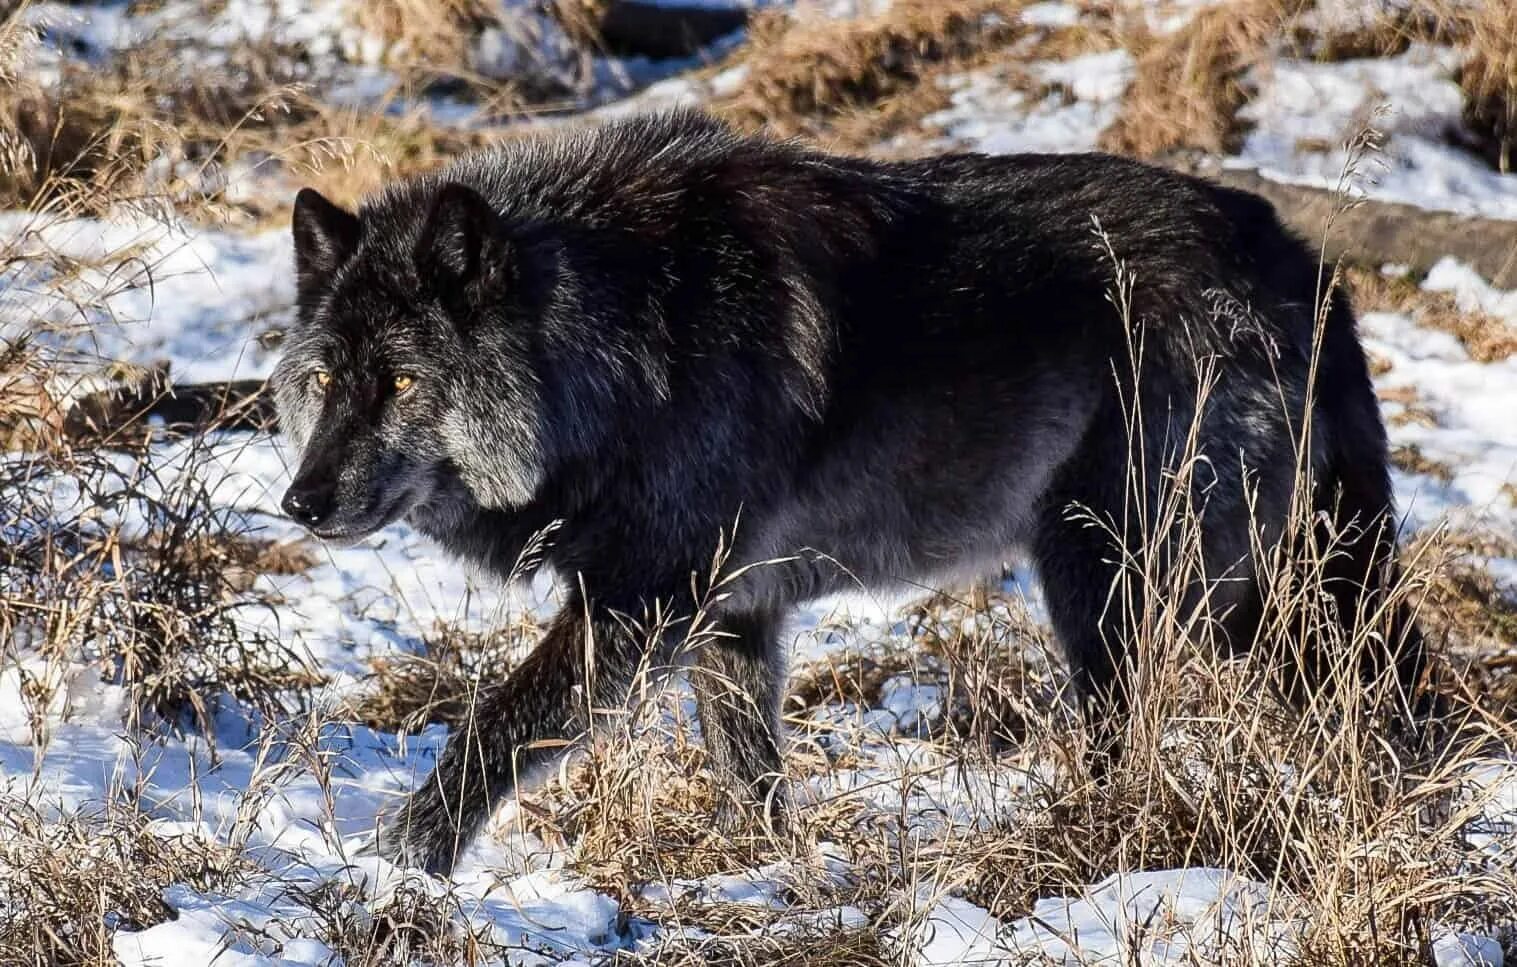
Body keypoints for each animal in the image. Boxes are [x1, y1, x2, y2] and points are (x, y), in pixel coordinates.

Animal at [270, 109, 1419, 868]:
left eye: (402, 382)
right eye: (324, 381)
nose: (300, 504)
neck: (630, 343)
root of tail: (1301, 260)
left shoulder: (639, 605)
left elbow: (493, 728)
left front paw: (398, 866)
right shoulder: (730, 617)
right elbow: (748, 771)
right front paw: (771, 876)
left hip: (1118, 585)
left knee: (1135, 735)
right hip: (1254, 595)